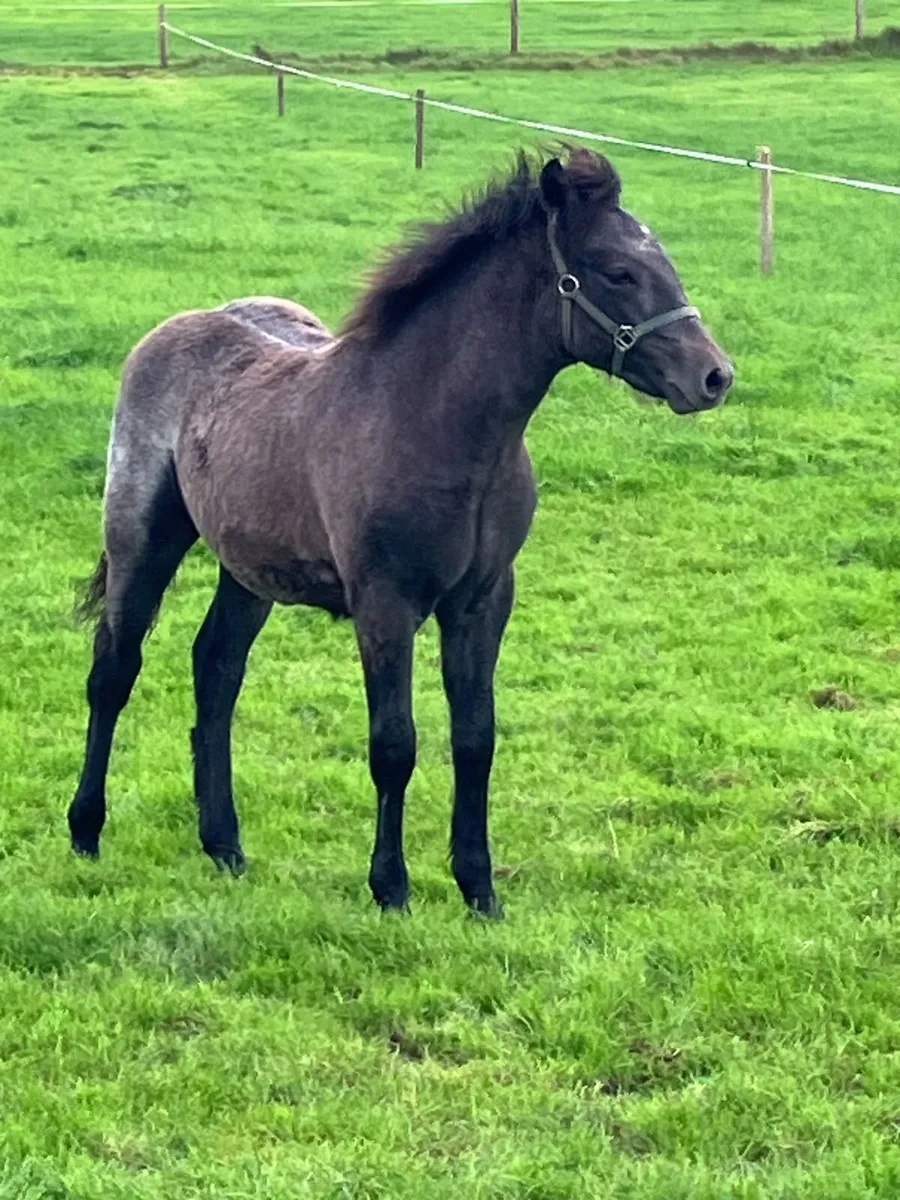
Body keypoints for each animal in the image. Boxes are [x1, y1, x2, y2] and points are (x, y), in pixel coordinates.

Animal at [69, 147, 733, 916]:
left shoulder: (483, 600)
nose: (714, 376)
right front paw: (391, 889)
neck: (436, 423)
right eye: (618, 271)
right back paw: (85, 832)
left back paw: (225, 846)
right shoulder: (385, 603)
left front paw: (479, 890)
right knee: (114, 670)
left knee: (217, 668)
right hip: (141, 535)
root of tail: (184, 324)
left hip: (250, 568)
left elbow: (475, 738)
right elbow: (395, 744)